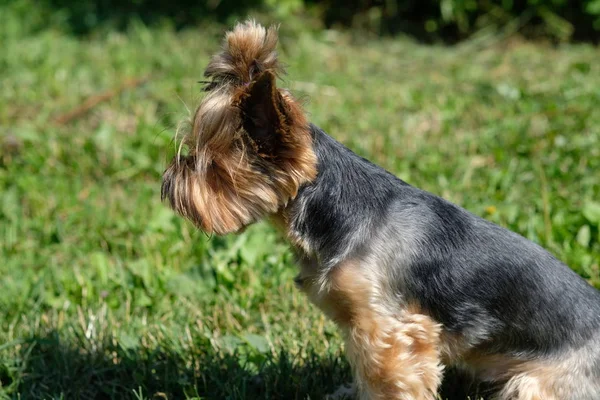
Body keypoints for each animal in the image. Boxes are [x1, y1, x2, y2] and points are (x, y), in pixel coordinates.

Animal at [162, 21, 600, 400]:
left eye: (210, 167)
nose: (168, 179)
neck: (334, 213)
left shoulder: (391, 330)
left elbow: (388, 380)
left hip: (540, 382)